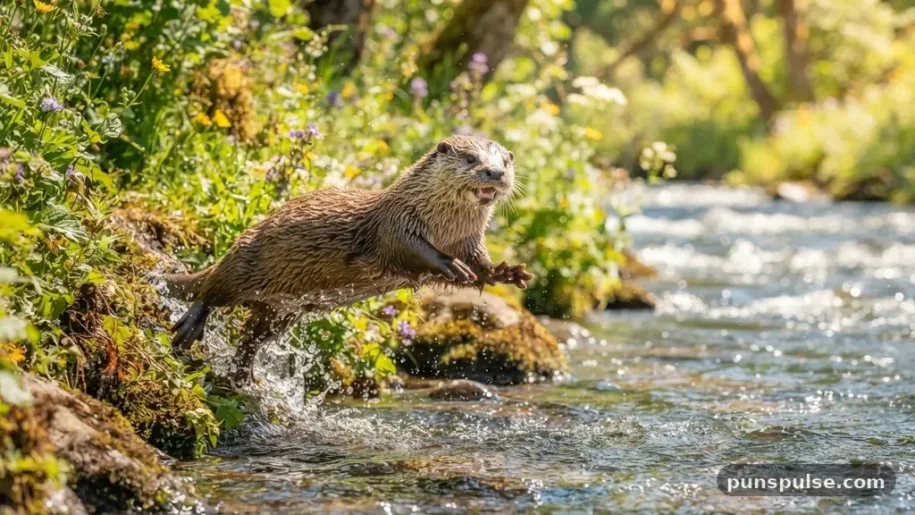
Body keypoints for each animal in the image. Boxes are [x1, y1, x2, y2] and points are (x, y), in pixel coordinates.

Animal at [165, 135, 533, 384]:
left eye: (505, 162)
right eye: (470, 159)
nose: (495, 173)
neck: (444, 228)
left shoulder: (470, 242)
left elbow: (481, 265)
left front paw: (506, 272)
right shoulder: (396, 223)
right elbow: (410, 251)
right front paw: (450, 265)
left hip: (279, 311)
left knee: (251, 336)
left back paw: (244, 377)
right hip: (245, 260)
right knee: (213, 290)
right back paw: (190, 327)